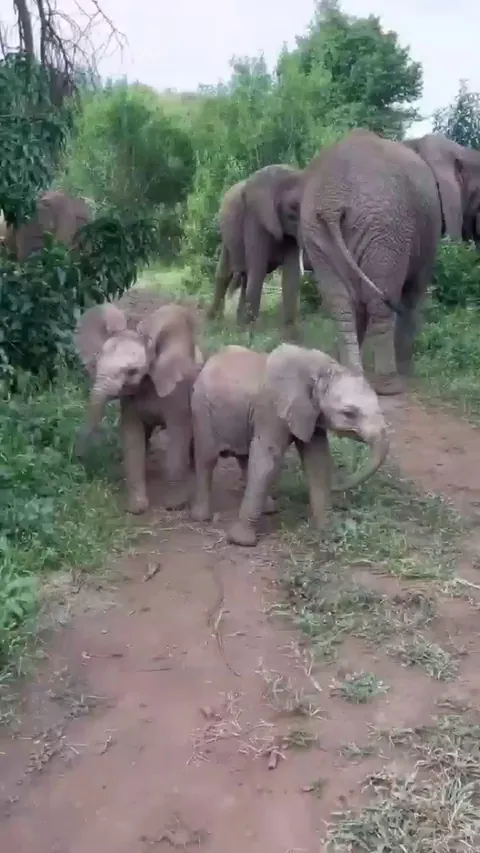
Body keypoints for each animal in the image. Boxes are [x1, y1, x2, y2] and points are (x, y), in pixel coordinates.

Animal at [74, 288, 204, 514]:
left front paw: (173, 506)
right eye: (97, 363)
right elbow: (132, 436)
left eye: (132, 371)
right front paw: (136, 508)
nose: (78, 458)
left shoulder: (177, 393)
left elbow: (178, 434)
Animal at [190, 342, 389, 546]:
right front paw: (241, 541)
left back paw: (269, 508)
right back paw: (201, 517)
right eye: (349, 413)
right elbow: (268, 459)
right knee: (207, 459)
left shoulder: (310, 413)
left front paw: (327, 532)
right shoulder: (272, 408)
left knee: (245, 457)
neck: (320, 368)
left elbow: (317, 461)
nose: (339, 486)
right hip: (201, 409)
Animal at [207, 165, 306, 333]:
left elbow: (291, 278)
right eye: (293, 208)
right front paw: (251, 332)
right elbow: (258, 270)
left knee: (245, 277)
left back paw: (239, 324)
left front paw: (292, 334)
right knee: (225, 274)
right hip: (226, 236)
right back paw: (214, 321)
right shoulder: (254, 217)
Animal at [299, 128, 443, 396]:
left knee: (340, 303)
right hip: (384, 228)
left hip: (316, 229)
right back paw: (390, 386)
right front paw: (407, 371)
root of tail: (332, 203)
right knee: (381, 303)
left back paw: (352, 375)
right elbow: (412, 291)